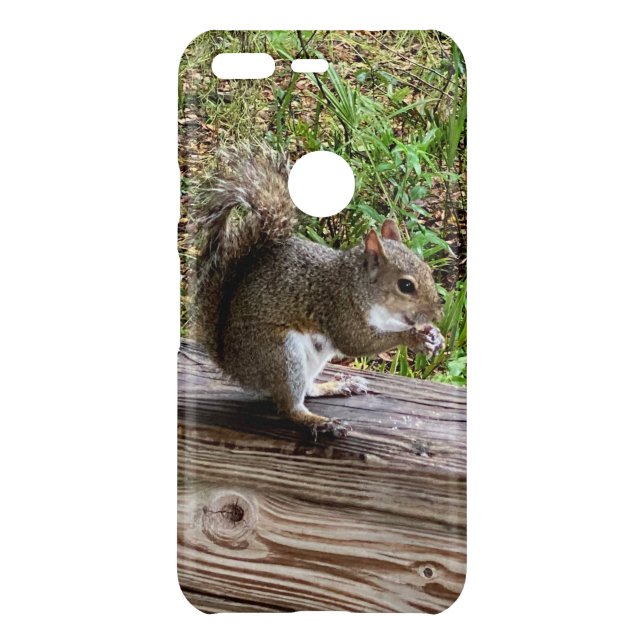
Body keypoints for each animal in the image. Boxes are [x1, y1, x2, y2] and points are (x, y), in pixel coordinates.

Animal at [193, 145, 444, 439]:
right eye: (406, 286)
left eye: (428, 269)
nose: (436, 313)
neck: (355, 284)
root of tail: (234, 365)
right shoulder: (338, 309)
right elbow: (357, 343)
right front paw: (413, 337)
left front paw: (433, 335)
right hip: (280, 354)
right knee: (290, 407)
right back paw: (321, 422)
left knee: (308, 390)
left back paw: (335, 386)